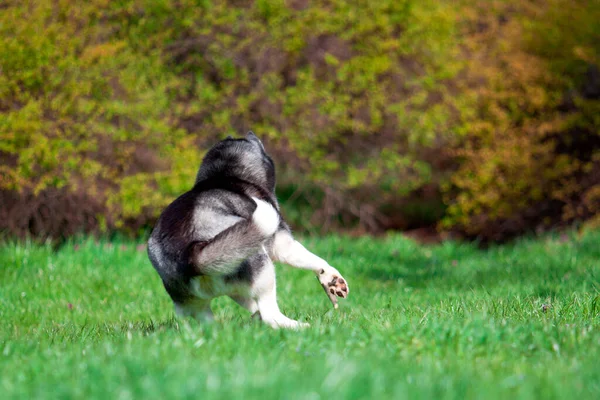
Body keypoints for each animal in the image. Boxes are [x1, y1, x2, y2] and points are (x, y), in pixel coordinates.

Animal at [147, 131, 350, 328]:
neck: (224, 176)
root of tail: (191, 256)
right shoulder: (282, 244)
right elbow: (314, 260)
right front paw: (332, 279)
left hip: (195, 303)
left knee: (210, 323)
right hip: (261, 263)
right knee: (270, 314)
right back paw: (299, 326)